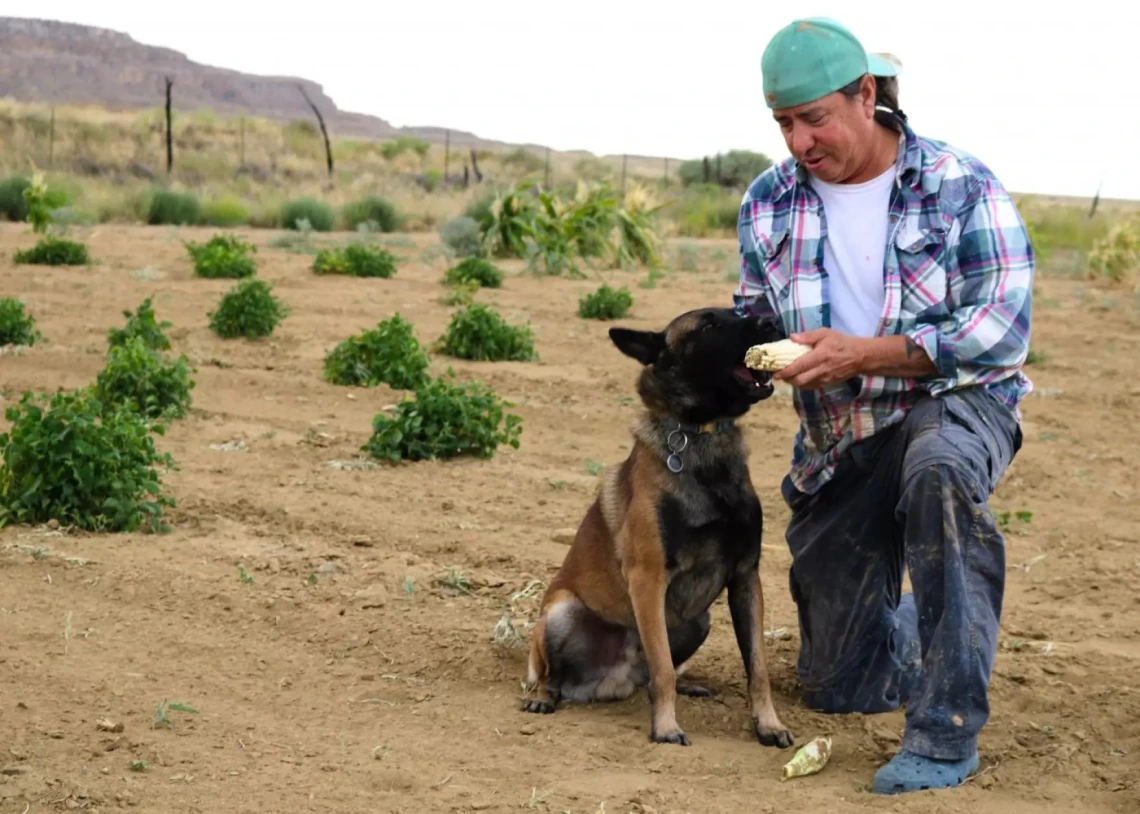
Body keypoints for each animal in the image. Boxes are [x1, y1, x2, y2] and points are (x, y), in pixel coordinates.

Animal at [522, 305, 798, 747]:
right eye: (709, 324)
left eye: (737, 311)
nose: (771, 320)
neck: (702, 436)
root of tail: (613, 679)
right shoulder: (648, 579)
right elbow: (664, 668)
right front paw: (666, 728)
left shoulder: (746, 578)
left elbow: (757, 668)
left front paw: (768, 724)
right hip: (561, 612)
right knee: (558, 677)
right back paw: (544, 698)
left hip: (697, 620)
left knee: (649, 675)